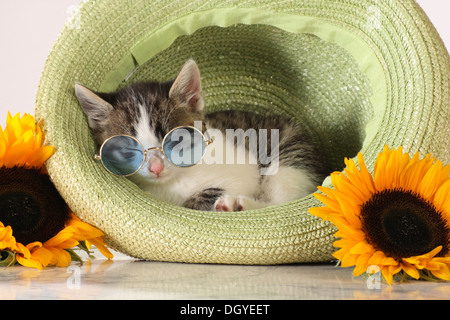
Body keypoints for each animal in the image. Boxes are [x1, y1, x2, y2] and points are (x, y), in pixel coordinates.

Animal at [75, 59, 328, 212]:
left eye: (175, 139)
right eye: (129, 148)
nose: (156, 168)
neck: (171, 183)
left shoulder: (244, 168)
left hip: (289, 154)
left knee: (278, 203)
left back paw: (237, 205)